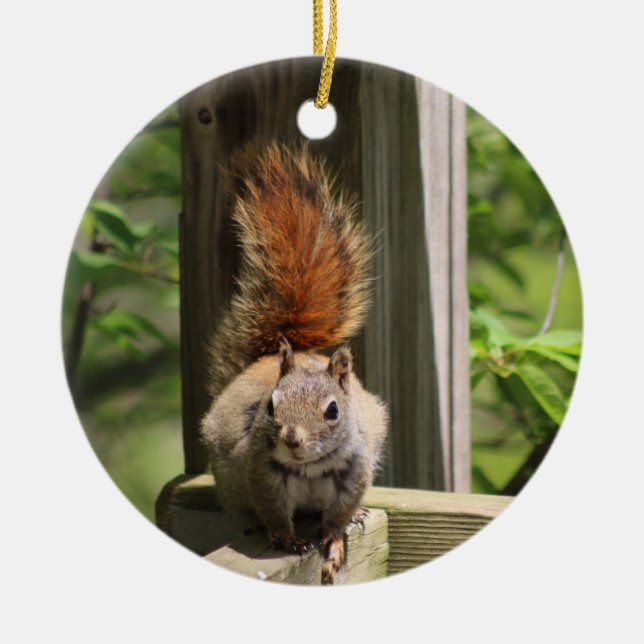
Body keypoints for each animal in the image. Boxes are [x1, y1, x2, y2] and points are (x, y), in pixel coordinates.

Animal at [200, 143, 388, 584]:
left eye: (333, 410)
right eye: (270, 406)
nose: (292, 439)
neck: (310, 467)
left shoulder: (355, 471)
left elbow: (337, 517)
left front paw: (333, 542)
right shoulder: (262, 471)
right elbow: (274, 510)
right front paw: (285, 538)